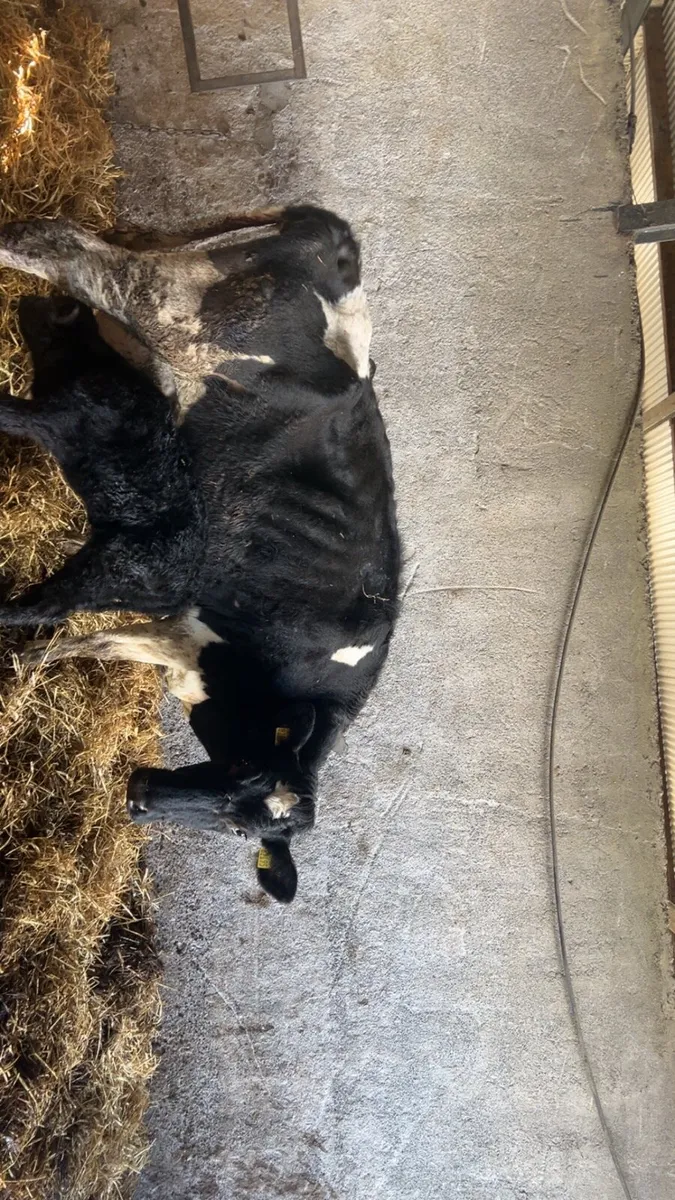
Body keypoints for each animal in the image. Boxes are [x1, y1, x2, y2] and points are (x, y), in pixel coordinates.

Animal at [0, 206, 400, 903]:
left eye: (238, 831)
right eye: (239, 769)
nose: (139, 796)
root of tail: (340, 250)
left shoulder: (178, 641)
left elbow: (89, 640)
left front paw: (27, 666)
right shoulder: (187, 637)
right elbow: (93, 637)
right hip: (175, 311)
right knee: (67, 250)